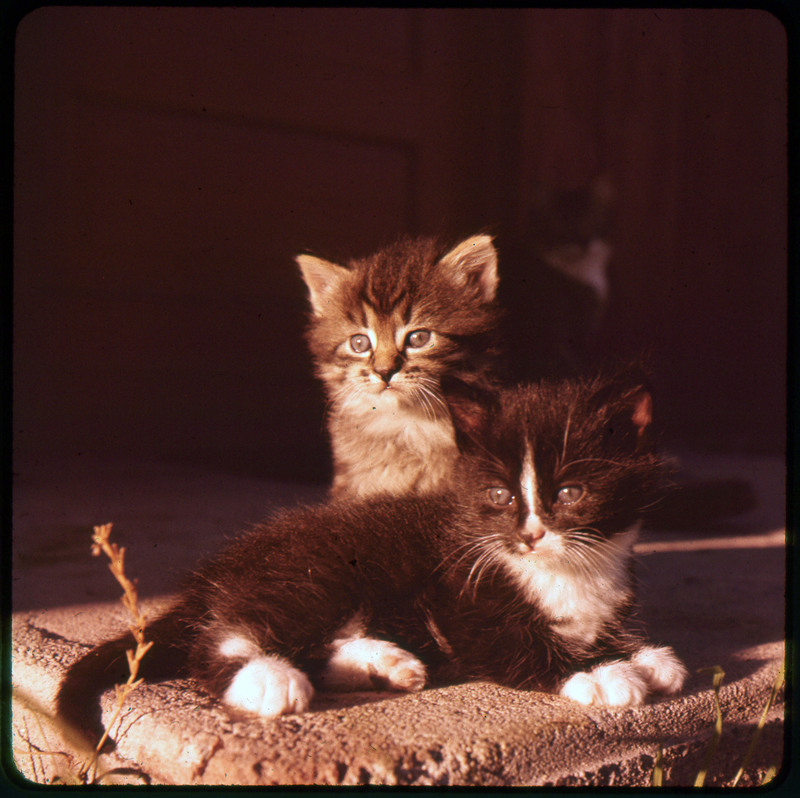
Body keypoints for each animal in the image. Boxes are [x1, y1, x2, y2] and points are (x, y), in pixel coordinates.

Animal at [56, 376, 684, 744]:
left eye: (571, 494)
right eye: (501, 496)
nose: (530, 535)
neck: (565, 571)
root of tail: (217, 572)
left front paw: (645, 656)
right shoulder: (465, 601)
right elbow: (521, 646)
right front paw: (604, 673)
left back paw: (384, 663)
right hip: (313, 572)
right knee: (222, 638)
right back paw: (268, 679)